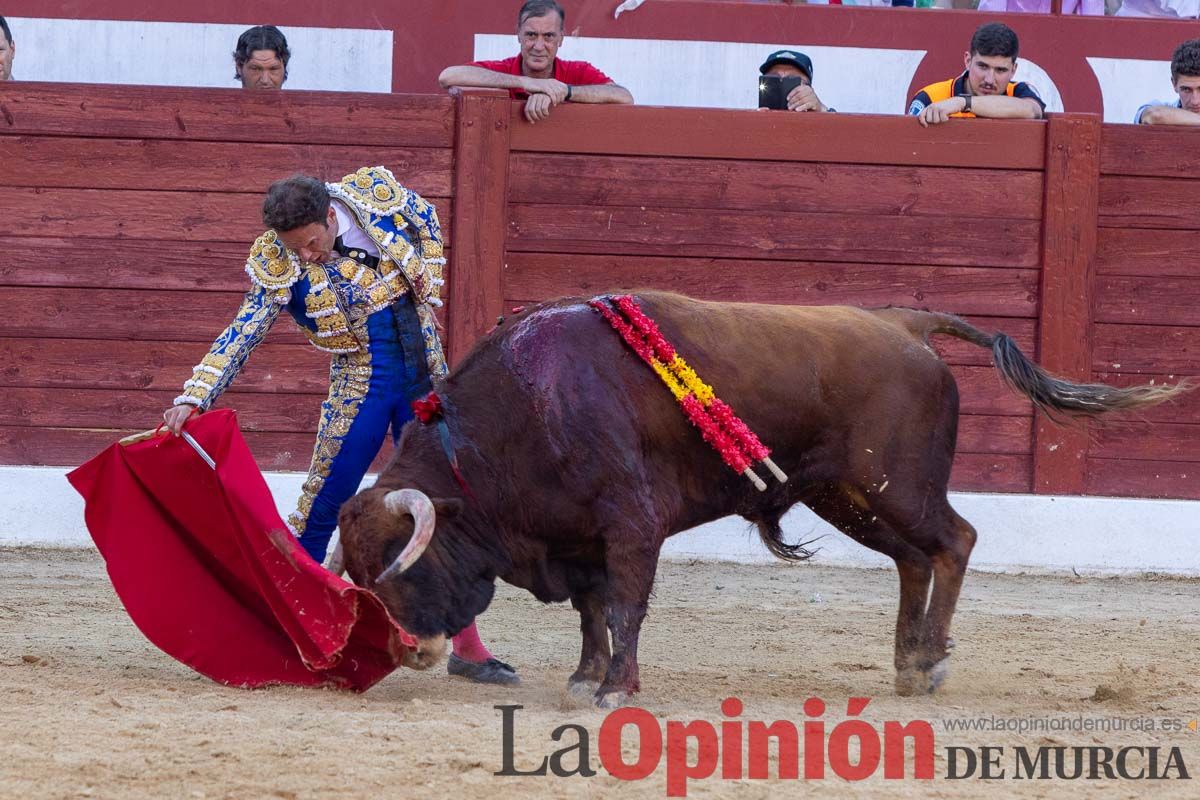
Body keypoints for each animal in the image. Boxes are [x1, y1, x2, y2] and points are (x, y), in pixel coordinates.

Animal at [331, 293, 1190, 705]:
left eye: (402, 564)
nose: (409, 652)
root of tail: (903, 323)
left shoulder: (630, 524)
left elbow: (625, 604)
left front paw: (613, 690)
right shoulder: (576, 538)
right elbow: (590, 610)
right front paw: (584, 678)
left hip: (898, 486)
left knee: (953, 542)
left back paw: (933, 661)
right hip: (850, 496)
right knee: (914, 560)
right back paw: (908, 663)